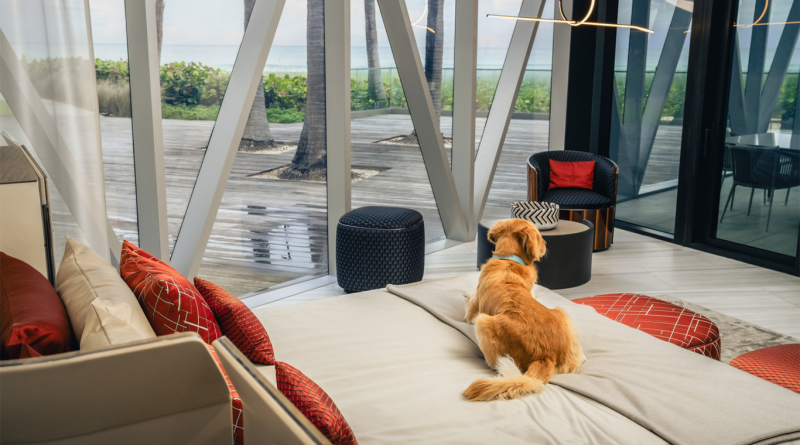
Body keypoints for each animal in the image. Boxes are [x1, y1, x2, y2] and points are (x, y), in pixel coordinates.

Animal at [462, 219, 580, 402]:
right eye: (539, 236)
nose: (546, 244)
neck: (508, 260)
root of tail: (545, 355)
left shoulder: (472, 313)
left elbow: (470, 299)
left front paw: (467, 291)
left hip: (483, 322)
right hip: (562, 312)